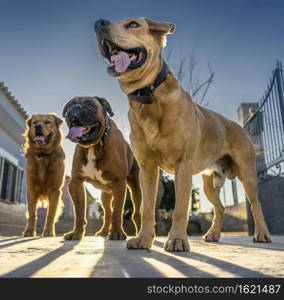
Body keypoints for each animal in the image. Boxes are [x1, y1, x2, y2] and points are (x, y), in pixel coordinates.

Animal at [62, 97, 141, 240]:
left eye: (90, 105)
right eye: (69, 106)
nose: (75, 108)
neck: (94, 145)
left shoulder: (119, 183)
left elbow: (117, 211)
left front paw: (117, 233)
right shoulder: (76, 183)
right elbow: (79, 211)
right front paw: (76, 233)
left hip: (135, 188)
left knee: (136, 212)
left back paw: (138, 232)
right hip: (105, 195)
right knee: (108, 212)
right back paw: (104, 231)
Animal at [95, 16, 270, 251]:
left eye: (132, 24)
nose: (99, 23)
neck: (148, 96)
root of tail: (240, 128)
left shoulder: (183, 165)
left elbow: (180, 209)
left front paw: (177, 239)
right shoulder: (147, 169)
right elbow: (147, 209)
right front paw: (144, 239)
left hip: (247, 176)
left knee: (256, 204)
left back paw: (262, 233)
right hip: (209, 185)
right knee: (220, 207)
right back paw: (213, 234)